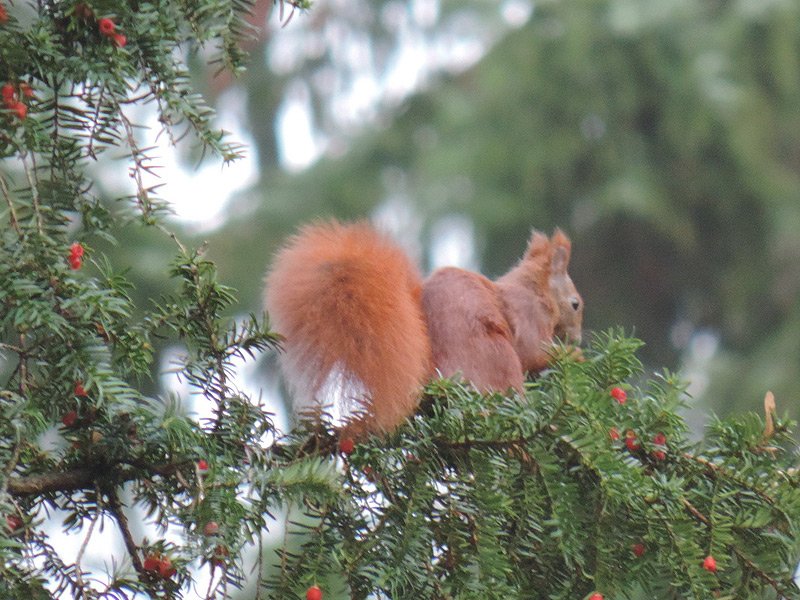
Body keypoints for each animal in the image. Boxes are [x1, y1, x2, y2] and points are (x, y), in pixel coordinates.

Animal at [262, 220, 580, 436]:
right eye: (576, 304)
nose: (577, 339)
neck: (534, 289)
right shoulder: (527, 314)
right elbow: (532, 352)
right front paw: (573, 357)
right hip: (496, 356)